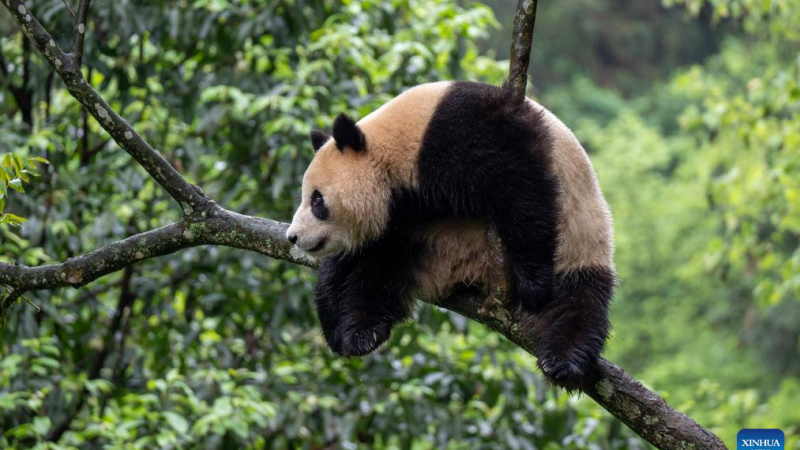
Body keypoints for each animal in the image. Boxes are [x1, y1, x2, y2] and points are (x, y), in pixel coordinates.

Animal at [286, 81, 616, 385]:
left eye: (317, 200)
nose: (293, 237)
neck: (396, 148)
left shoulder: (471, 131)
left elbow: (522, 189)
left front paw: (532, 284)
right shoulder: (402, 212)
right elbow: (354, 260)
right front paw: (338, 326)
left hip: (580, 243)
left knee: (577, 303)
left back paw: (562, 361)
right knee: (378, 273)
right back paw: (363, 332)